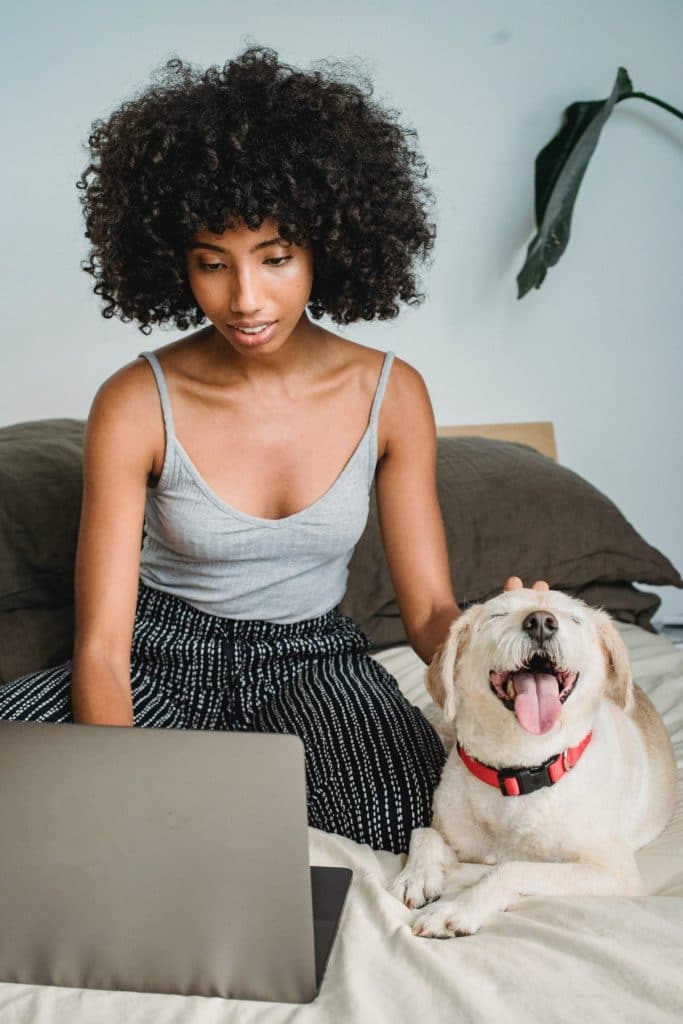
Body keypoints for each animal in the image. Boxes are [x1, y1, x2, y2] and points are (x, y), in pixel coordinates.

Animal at [389, 593, 679, 937]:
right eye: (498, 615)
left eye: (574, 619)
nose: (541, 621)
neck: (518, 771)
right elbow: (424, 832)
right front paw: (416, 876)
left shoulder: (614, 872)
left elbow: (511, 869)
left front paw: (455, 909)